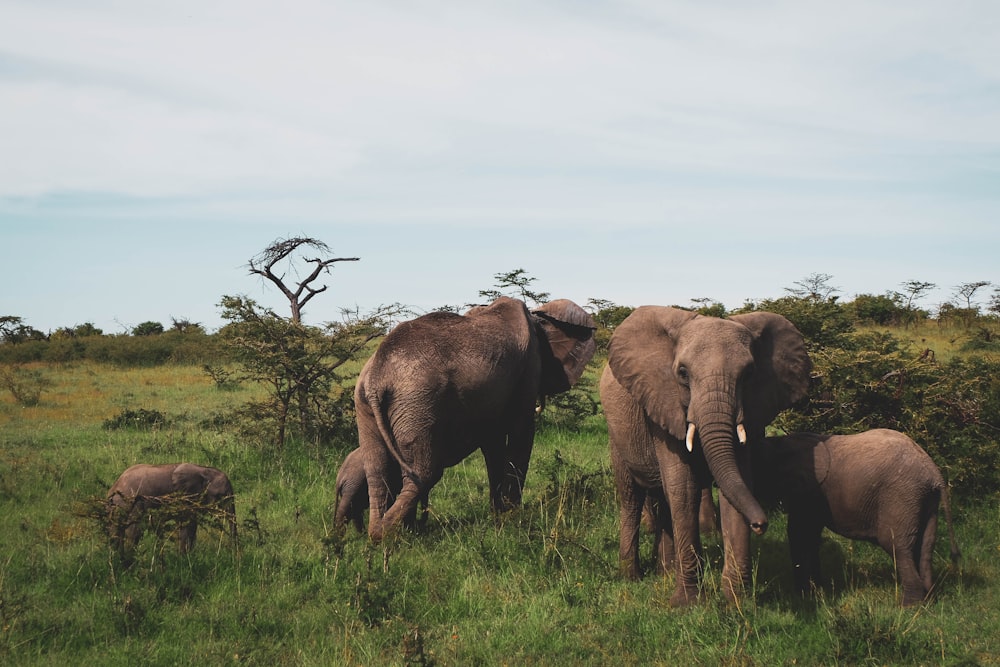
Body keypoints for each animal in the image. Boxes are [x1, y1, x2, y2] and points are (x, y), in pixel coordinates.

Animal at [106, 462, 237, 560]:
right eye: (221, 496)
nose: (233, 553)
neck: (204, 470)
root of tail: (114, 486)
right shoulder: (185, 496)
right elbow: (187, 525)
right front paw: (183, 559)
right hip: (130, 501)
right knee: (133, 530)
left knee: (117, 529)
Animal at [358, 298, 592, 544]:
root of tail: (377, 376)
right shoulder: (528, 370)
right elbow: (521, 435)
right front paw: (512, 518)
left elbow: (494, 445)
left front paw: (498, 516)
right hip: (417, 402)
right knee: (425, 473)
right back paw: (388, 534)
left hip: (369, 403)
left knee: (377, 470)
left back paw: (385, 531)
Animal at [596, 308, 808, 604]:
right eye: (683, 373)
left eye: (749, 373)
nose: (760, 524)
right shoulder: (663, 402)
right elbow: (684, 488)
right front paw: (688, 603)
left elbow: (738, 485)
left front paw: (735, 601)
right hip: (618, 436)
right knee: (632, 496)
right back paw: (631, 576)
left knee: (662, 498)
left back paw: (664, 572)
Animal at [756, 430, 960, 608]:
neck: (779, 442)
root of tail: (934, 472)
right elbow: (810, 535)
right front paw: (815, 591)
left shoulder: (807, 490)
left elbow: (799, 533)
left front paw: (805, 595)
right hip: (927, 501)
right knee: (925, 547)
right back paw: (929, 601)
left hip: (902, 496)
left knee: (897, 546)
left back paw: (908, 608)